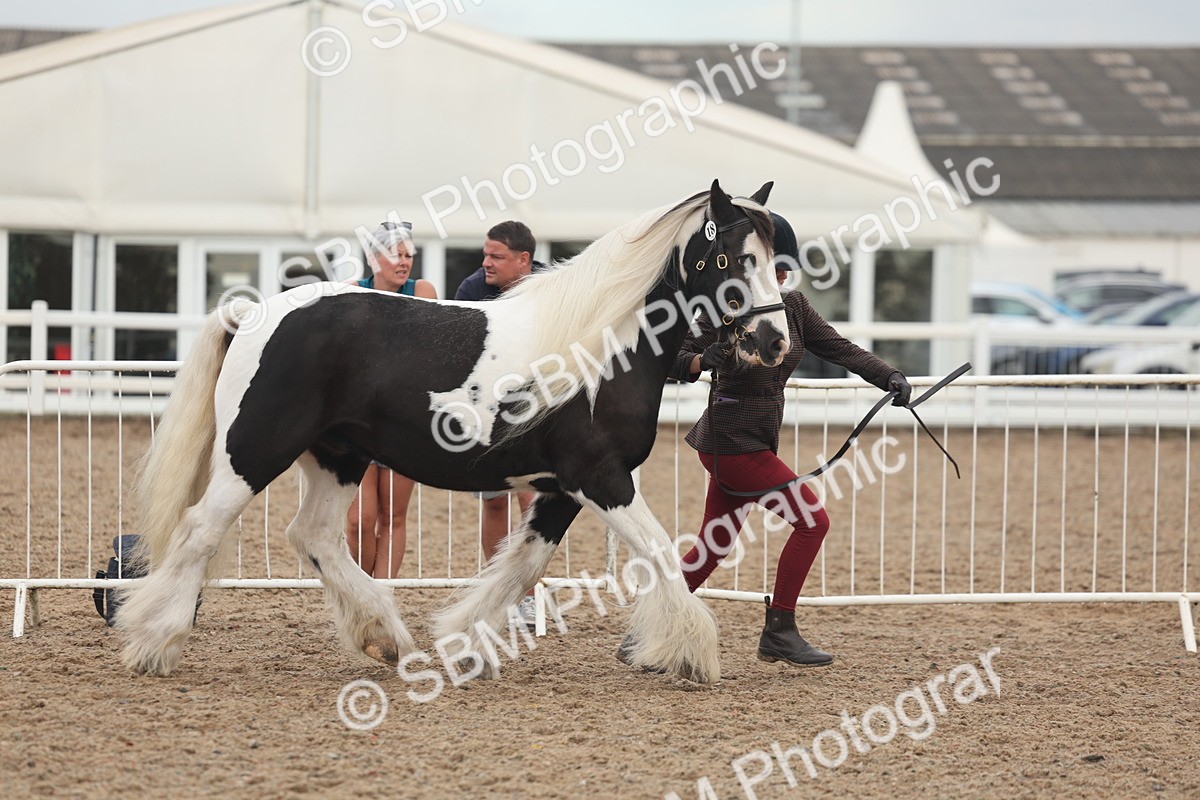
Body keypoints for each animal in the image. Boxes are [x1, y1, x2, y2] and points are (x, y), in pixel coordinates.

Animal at [116, 180, 789, 684]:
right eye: (734, 258)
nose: (773, 341)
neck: (601, 349)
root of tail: (253, 313)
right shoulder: (601, 479)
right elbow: (657, 553)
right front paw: (693, 653)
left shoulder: (560, 489)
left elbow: (520, 567)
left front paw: (464, 644)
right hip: (255, 452)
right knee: (200, 530)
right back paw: (156, 643)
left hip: (339, 458)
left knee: (313, 537)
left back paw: (384, 639)